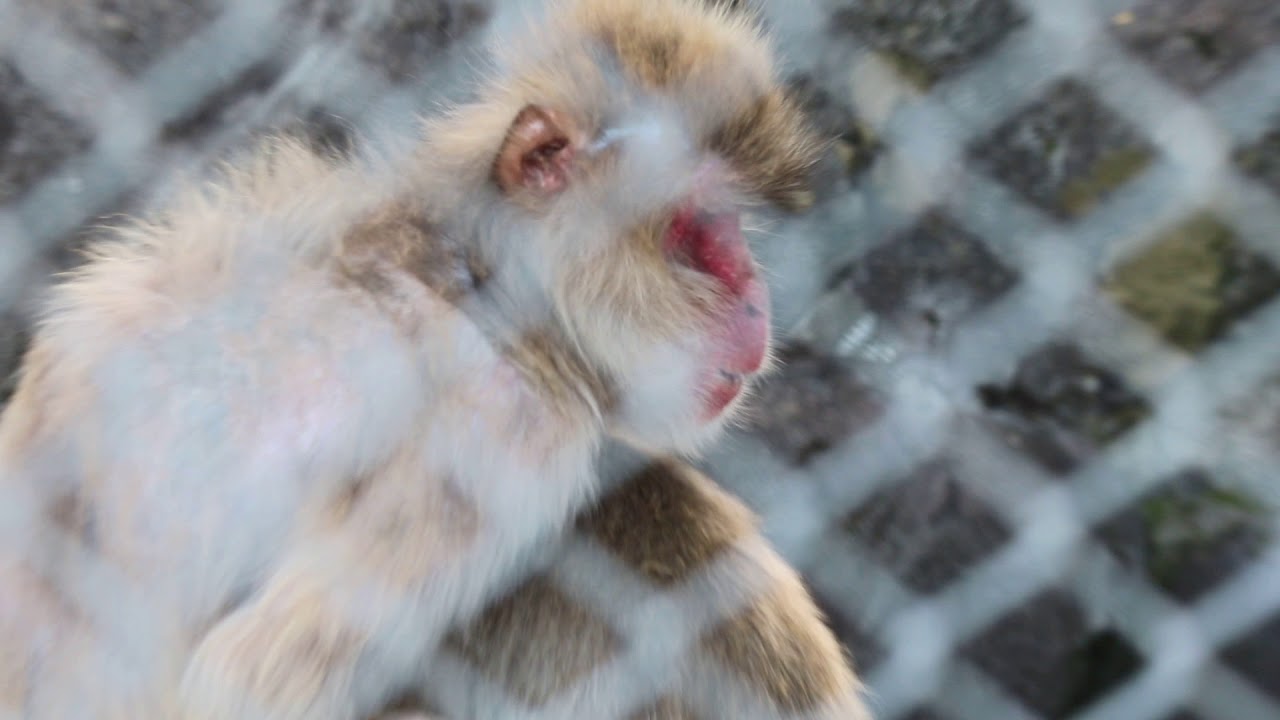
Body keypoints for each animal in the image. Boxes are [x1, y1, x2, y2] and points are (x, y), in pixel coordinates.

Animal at [0, 0, 824, 718]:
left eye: (736, 227)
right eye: (700, 226)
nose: (755, 294)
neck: (471, 271)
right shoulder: (510, 426)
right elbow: (244, 687)